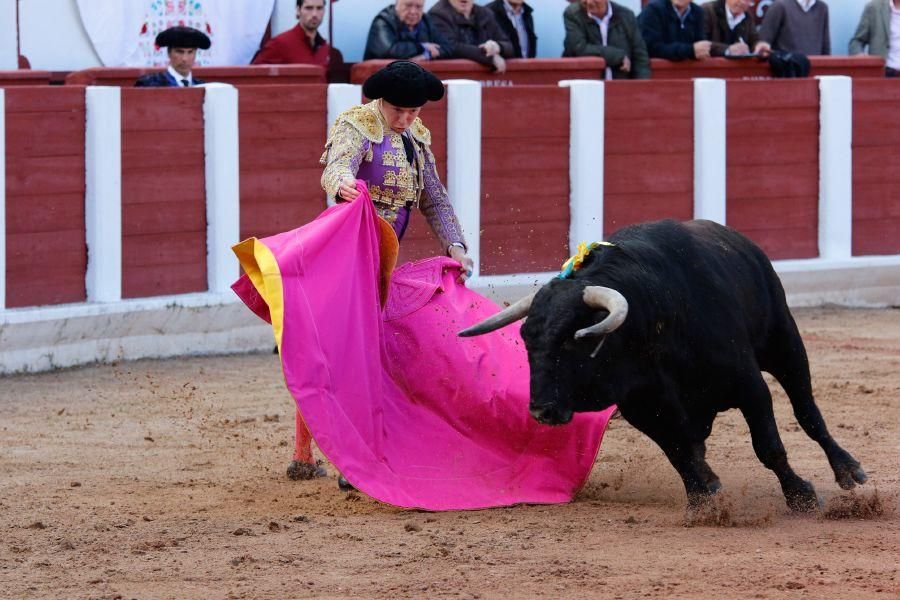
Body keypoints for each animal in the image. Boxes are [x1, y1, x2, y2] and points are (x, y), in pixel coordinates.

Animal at [460, 220, 868, 510]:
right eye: (528, 340)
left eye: (575, 340)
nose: (541, 410)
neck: (653, 315)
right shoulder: (643, 407)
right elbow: (678, 454)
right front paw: (702, 502)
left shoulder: (749, 384)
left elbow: (767, 445)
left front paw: (801, 496)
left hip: (784, 342)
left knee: (807, 411)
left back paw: (848, 470)